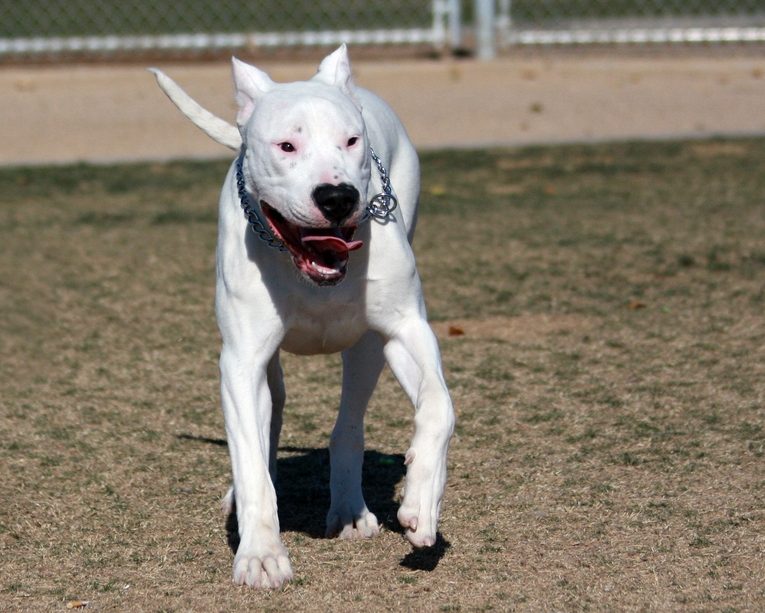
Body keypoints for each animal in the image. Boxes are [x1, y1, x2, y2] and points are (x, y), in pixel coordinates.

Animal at [152, 43, 456, 588]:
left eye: (351, 141)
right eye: (286, 146)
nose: (337, 196)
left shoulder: (408, 330)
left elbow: (440, 406)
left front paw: (423, 500)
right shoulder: (242, 362)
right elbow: (252, 460)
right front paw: (260, 554)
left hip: (368, 348)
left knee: (349, 421)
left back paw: (351, 508)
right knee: (267, 425)